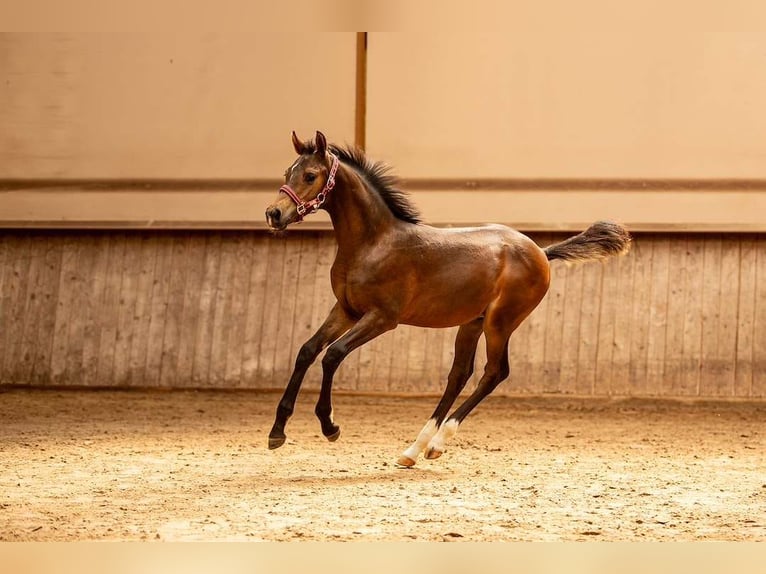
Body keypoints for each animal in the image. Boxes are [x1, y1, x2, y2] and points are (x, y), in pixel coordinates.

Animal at [265, 131, 631, 467]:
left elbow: (333, 354)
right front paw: (277, 432)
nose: (274, 214)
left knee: (494, 372)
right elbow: (307, 350)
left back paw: (438, 442)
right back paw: (415, 449)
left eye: (310, 175)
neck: (373, 243)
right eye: (287, 172)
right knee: (460, 374)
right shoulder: (346, 310)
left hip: (501, 322)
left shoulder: (382, 317)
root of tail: (541, 251)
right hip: (472, 323)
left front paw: (329, 425)